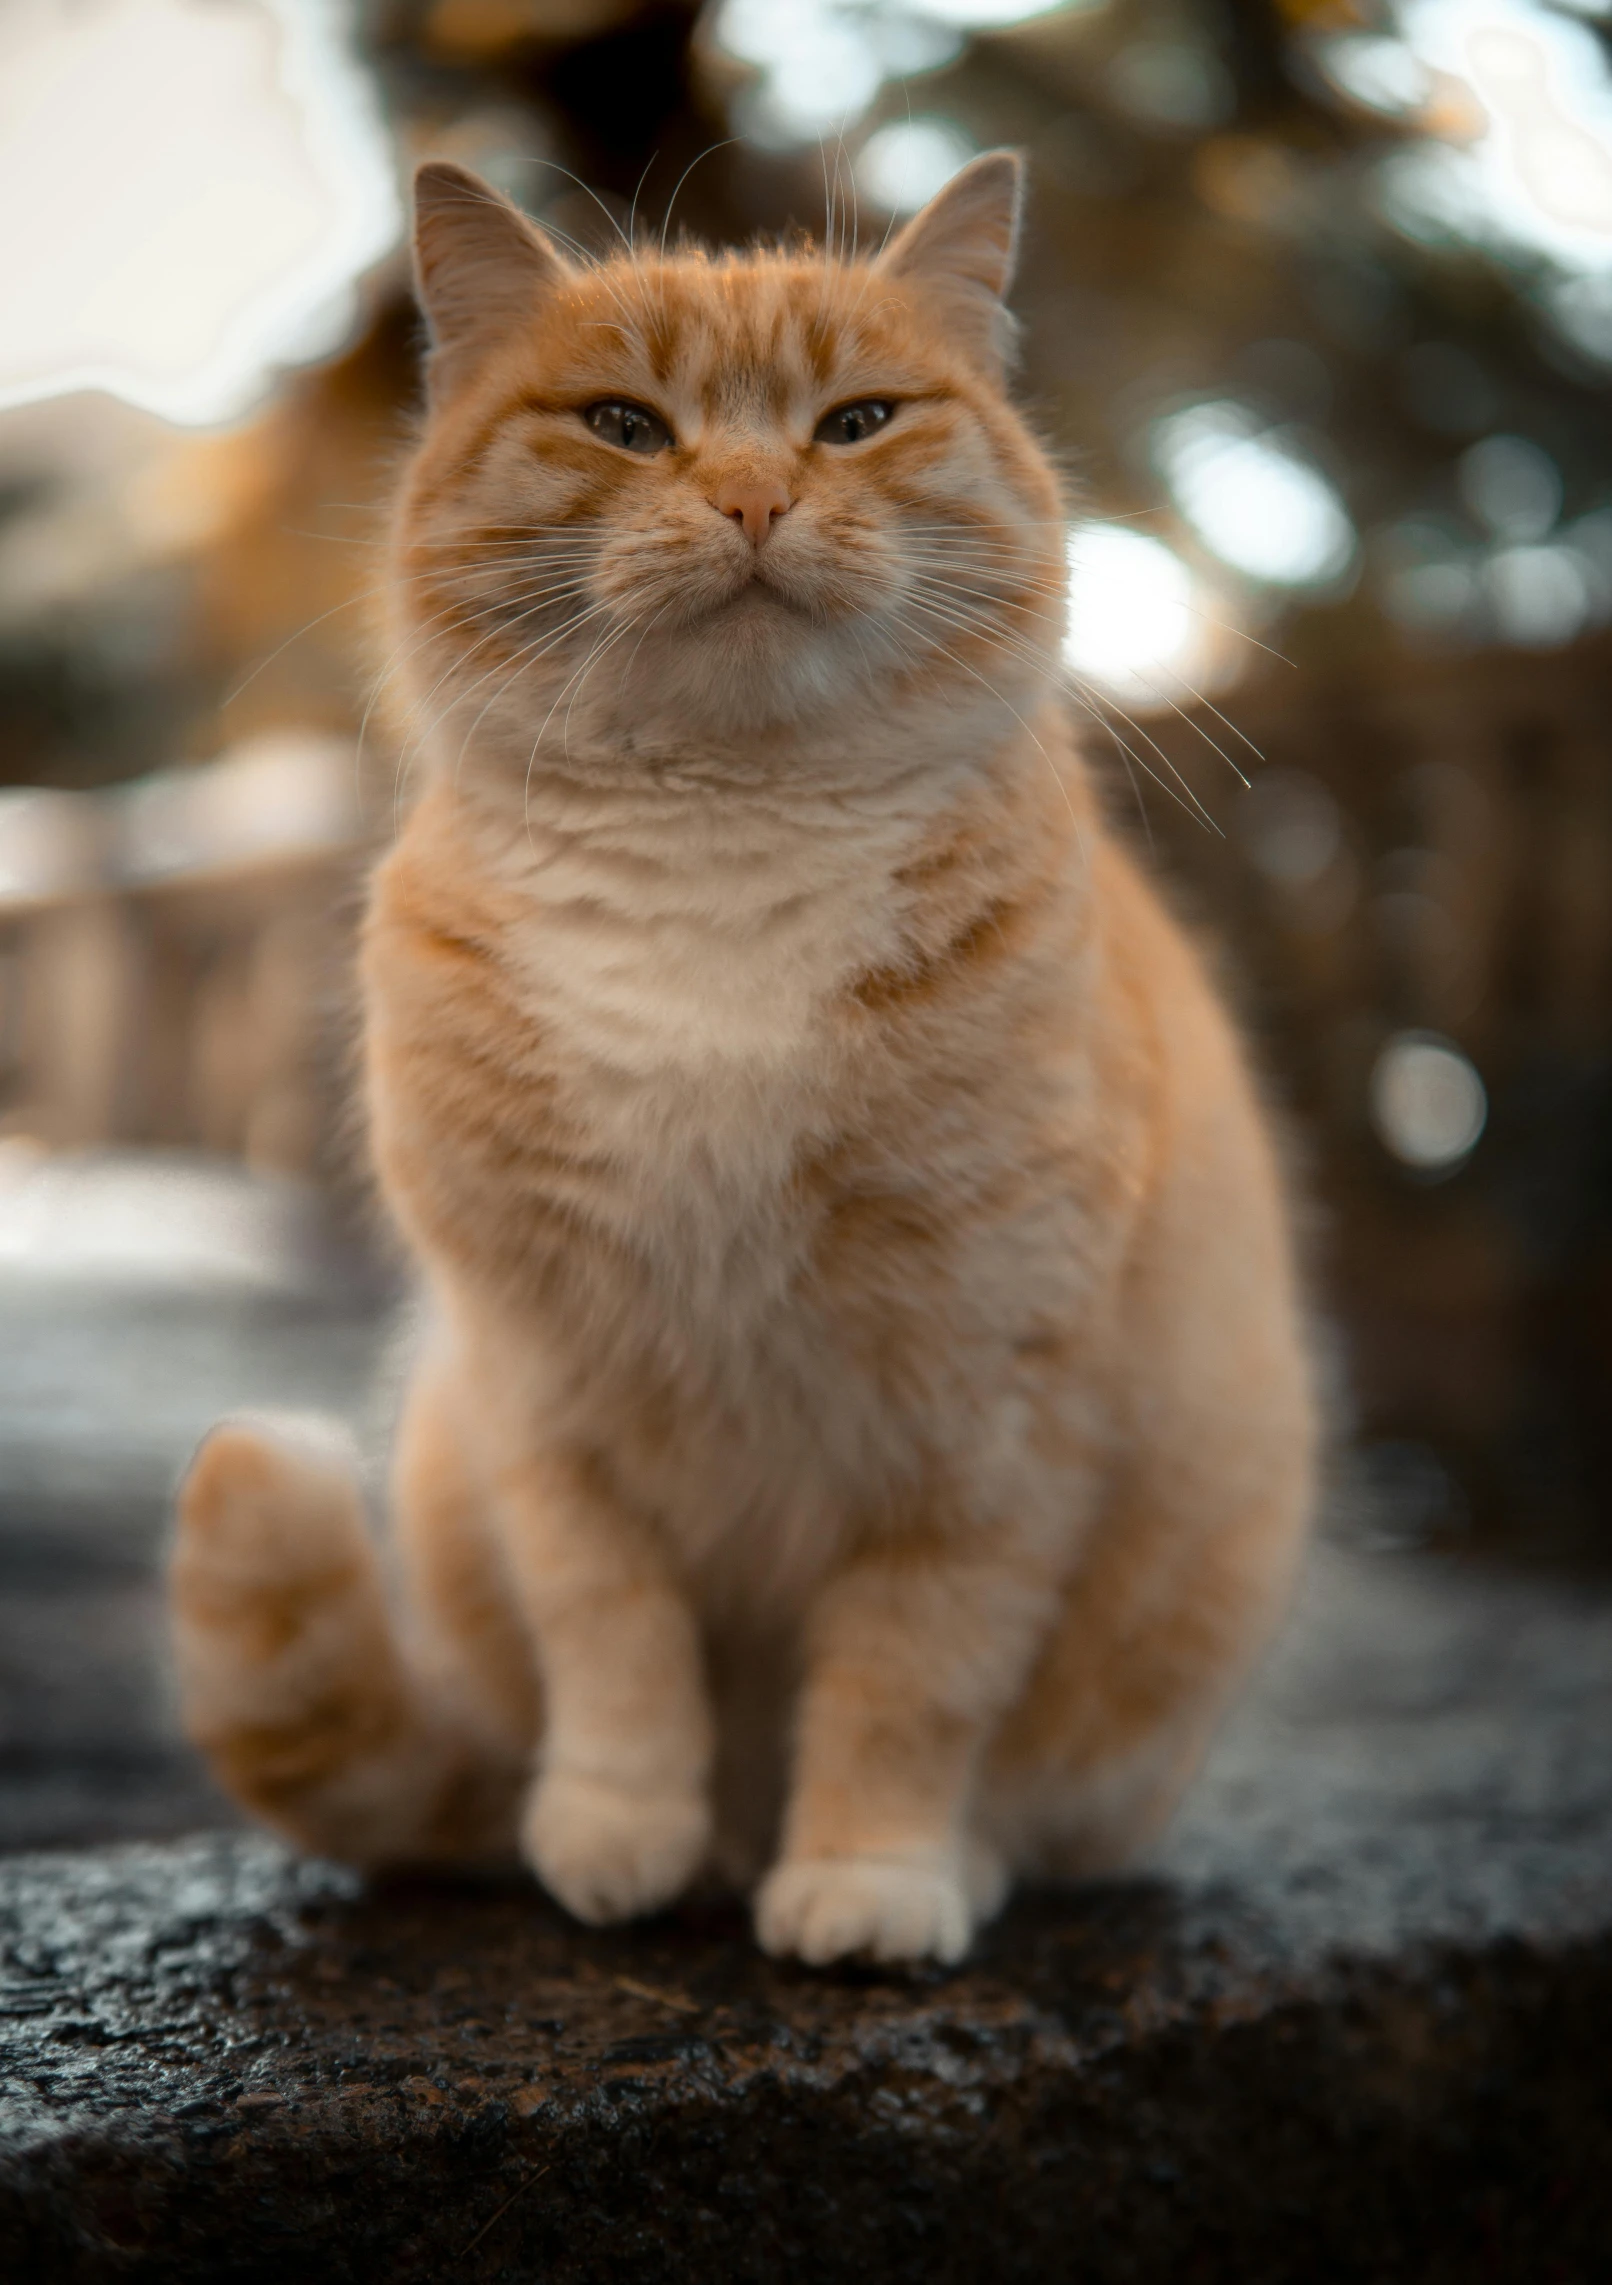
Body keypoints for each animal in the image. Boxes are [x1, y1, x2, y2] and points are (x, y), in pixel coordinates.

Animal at [169, 151, 1317, 1965]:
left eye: (855, 422)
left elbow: (912, 1680)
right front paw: (625, 1834)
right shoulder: (547, 1388)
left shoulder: (989, 1406)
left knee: (1039, 1802)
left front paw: (867, 1874)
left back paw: (938, 1862)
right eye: (624, 426)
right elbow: (614, 1647)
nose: (758, 496)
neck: (723, 849)